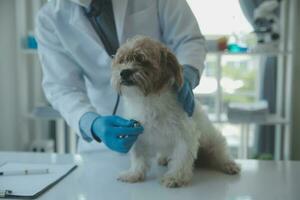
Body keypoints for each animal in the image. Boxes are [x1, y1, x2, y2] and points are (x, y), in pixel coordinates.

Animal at [111, 36, 240, 188]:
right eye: (121, 61)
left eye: (142, 59)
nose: (124, 72)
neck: (149, 101)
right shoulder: (138, 134)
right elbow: (139, 158)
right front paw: (134, 174)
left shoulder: (185, 136)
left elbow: (181, 159)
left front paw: (175, 177)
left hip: (214, 142)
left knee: (221, 153)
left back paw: (229, 164)